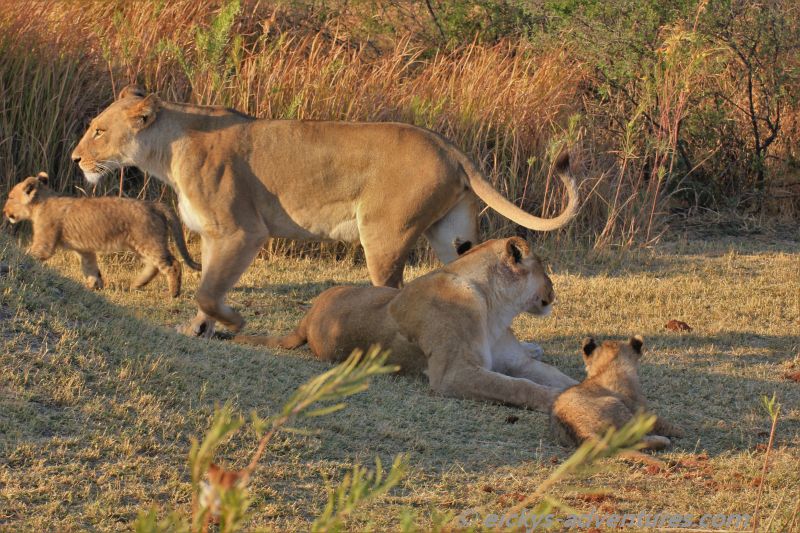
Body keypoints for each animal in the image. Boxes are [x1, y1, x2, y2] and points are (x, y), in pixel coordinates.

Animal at [3, 172, 200, 297]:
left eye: (11, 197)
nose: (4, 211)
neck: (40, 203)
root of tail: (154, 204)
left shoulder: (45, 243)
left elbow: (33, 254)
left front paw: (16, 260)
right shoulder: (84, 249)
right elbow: (90, 267)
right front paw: (94, 285)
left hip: (149, 242)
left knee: (172, 264)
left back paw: (173, 293)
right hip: (141, 245)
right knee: (153, 266)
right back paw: (137, 284)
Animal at [70, 85, 580, 337]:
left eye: (98, 131)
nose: (76, 159)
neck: (167, 148)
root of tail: (447, 144)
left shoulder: (242, 232)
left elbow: (209, 292)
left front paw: (232, 323)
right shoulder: (216, 236)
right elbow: (207, 290)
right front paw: (199, 329)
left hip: (384, 234)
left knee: (390, 288)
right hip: (449, 233)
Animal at [234, 237, 578, 412]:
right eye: (544, 268)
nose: (554, 290)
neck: (496, 307)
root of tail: (307, 316)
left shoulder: (517, 363)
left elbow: (556, 376)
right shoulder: (454, 373)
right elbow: (518, 386)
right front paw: (557, 400)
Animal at [550, 336, 684, 450]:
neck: (609, 366)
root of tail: (582, 430)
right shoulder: (640, 410)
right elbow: (660, 422)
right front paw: (679, 430)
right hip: (617, 407)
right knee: (635, 440)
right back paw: (663, 441)